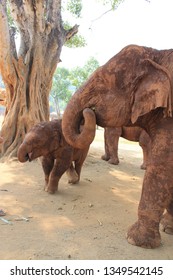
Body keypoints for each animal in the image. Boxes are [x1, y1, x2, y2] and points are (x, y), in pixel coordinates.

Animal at [61, 44, 173, 249]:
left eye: (100, 85)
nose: (88, 110)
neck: (157, 54)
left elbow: (163, 164)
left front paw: (136, 240)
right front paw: (167, 228)